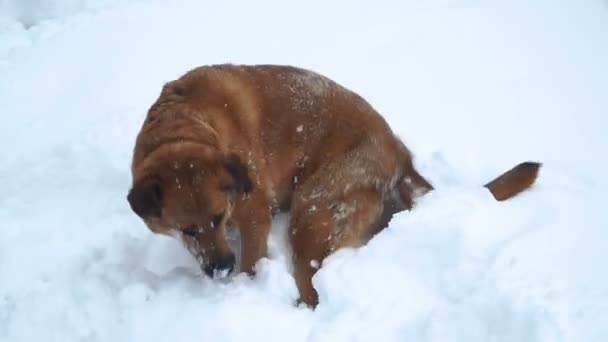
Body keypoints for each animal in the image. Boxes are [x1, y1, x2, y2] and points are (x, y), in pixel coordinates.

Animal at [126, 63, 540, 308]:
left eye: (218, 216)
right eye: (186, 230)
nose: (221, 269)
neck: (185, 126)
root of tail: (398, 153)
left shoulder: (254, 213)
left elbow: (252, 261)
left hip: (311, 211)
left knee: (311, 288)